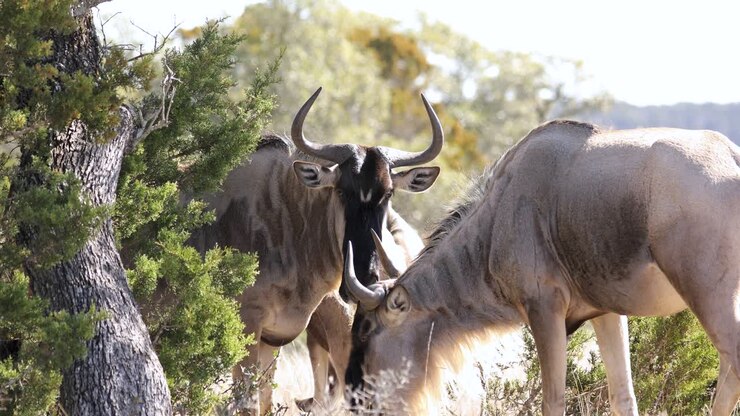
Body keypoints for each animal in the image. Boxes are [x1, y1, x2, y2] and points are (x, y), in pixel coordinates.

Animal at [192, 88, 443, 414]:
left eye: (388, 192)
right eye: (341, 190)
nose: (366, 277)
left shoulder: (272, 339)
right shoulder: (248, 329)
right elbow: (250, 404)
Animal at [345, 120, 740, 415]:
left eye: (366, 330)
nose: (354, 400)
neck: (497, 217)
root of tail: (732, 158)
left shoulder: (544, 311)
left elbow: (553, 401)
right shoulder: (605, 313)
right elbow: (624, 396)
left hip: (709, 298)